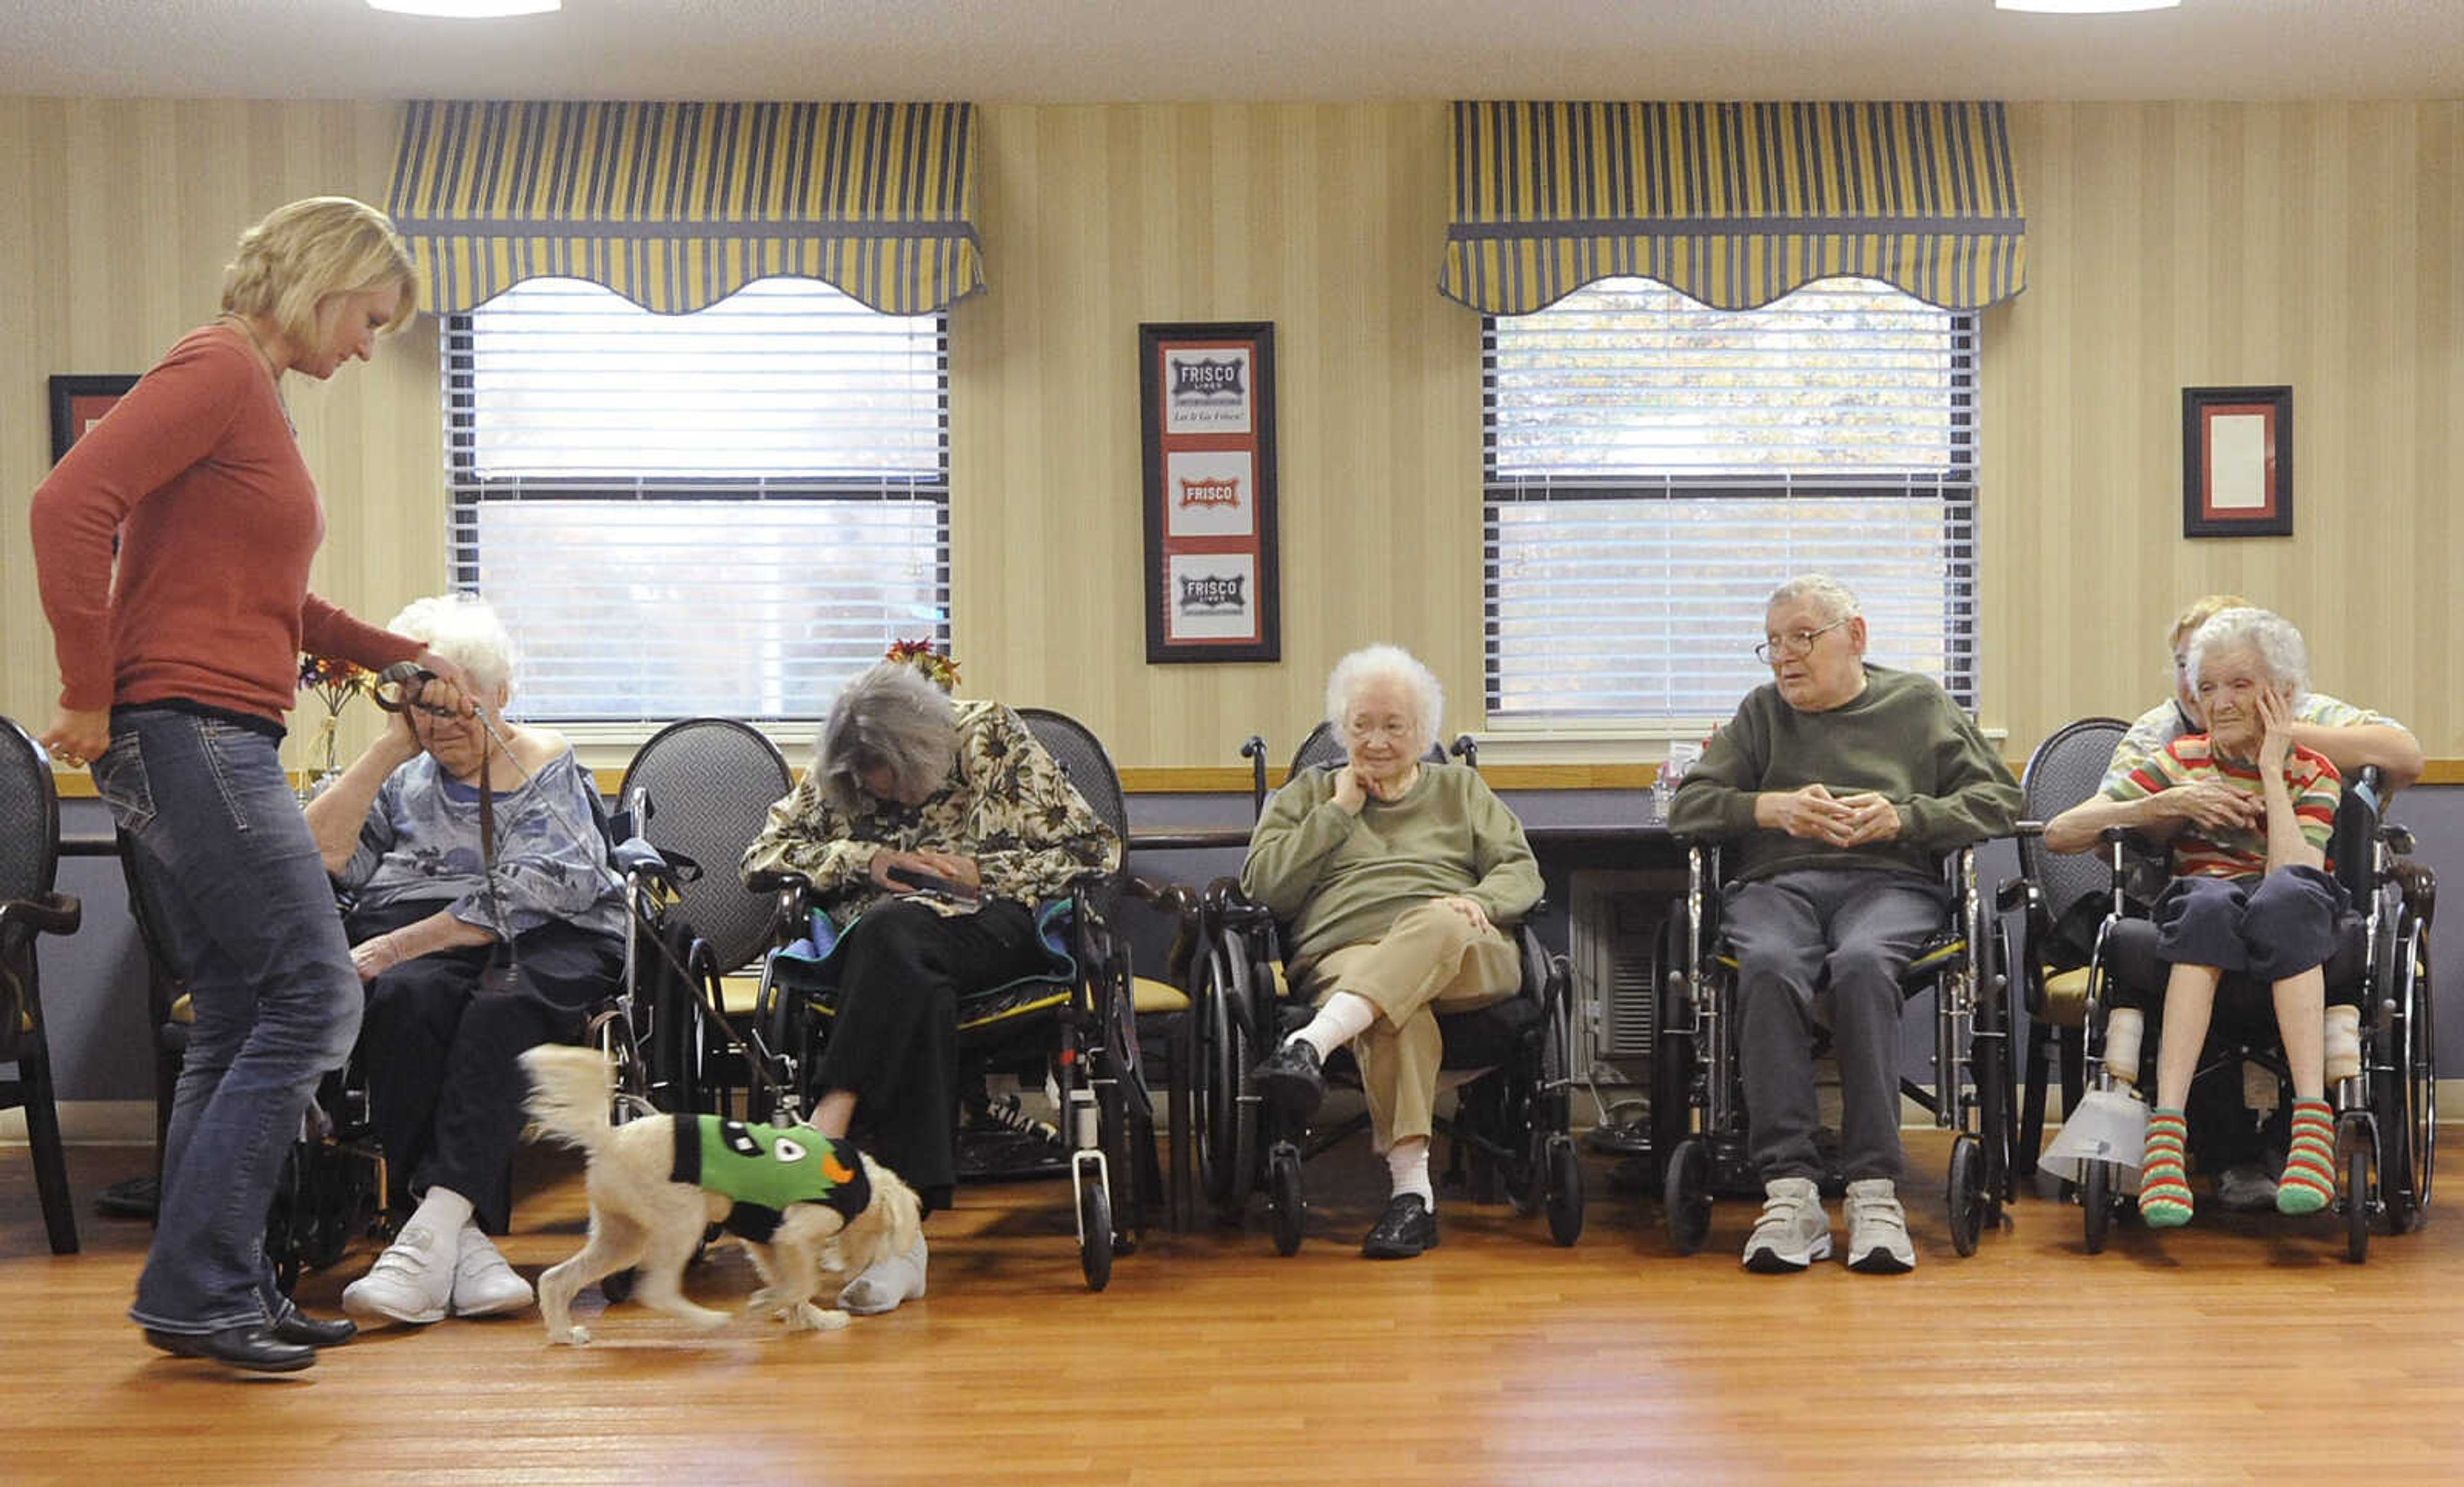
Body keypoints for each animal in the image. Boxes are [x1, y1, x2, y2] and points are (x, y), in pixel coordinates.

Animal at [515, 1044, 921, 1349]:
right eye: (886, 1235)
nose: (862, 1269)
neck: (863, 1181)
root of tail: (610, 1139)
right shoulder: (795, 1231)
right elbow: (804, 1282)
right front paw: (769, 1303)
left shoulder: (767, 1240)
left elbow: (794, 1285)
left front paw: (810, 1318)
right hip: (682, 1221)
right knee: (657, 1291)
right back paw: (708, 1320)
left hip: (623, 1237)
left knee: (556, 1279)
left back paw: (563, 1333)